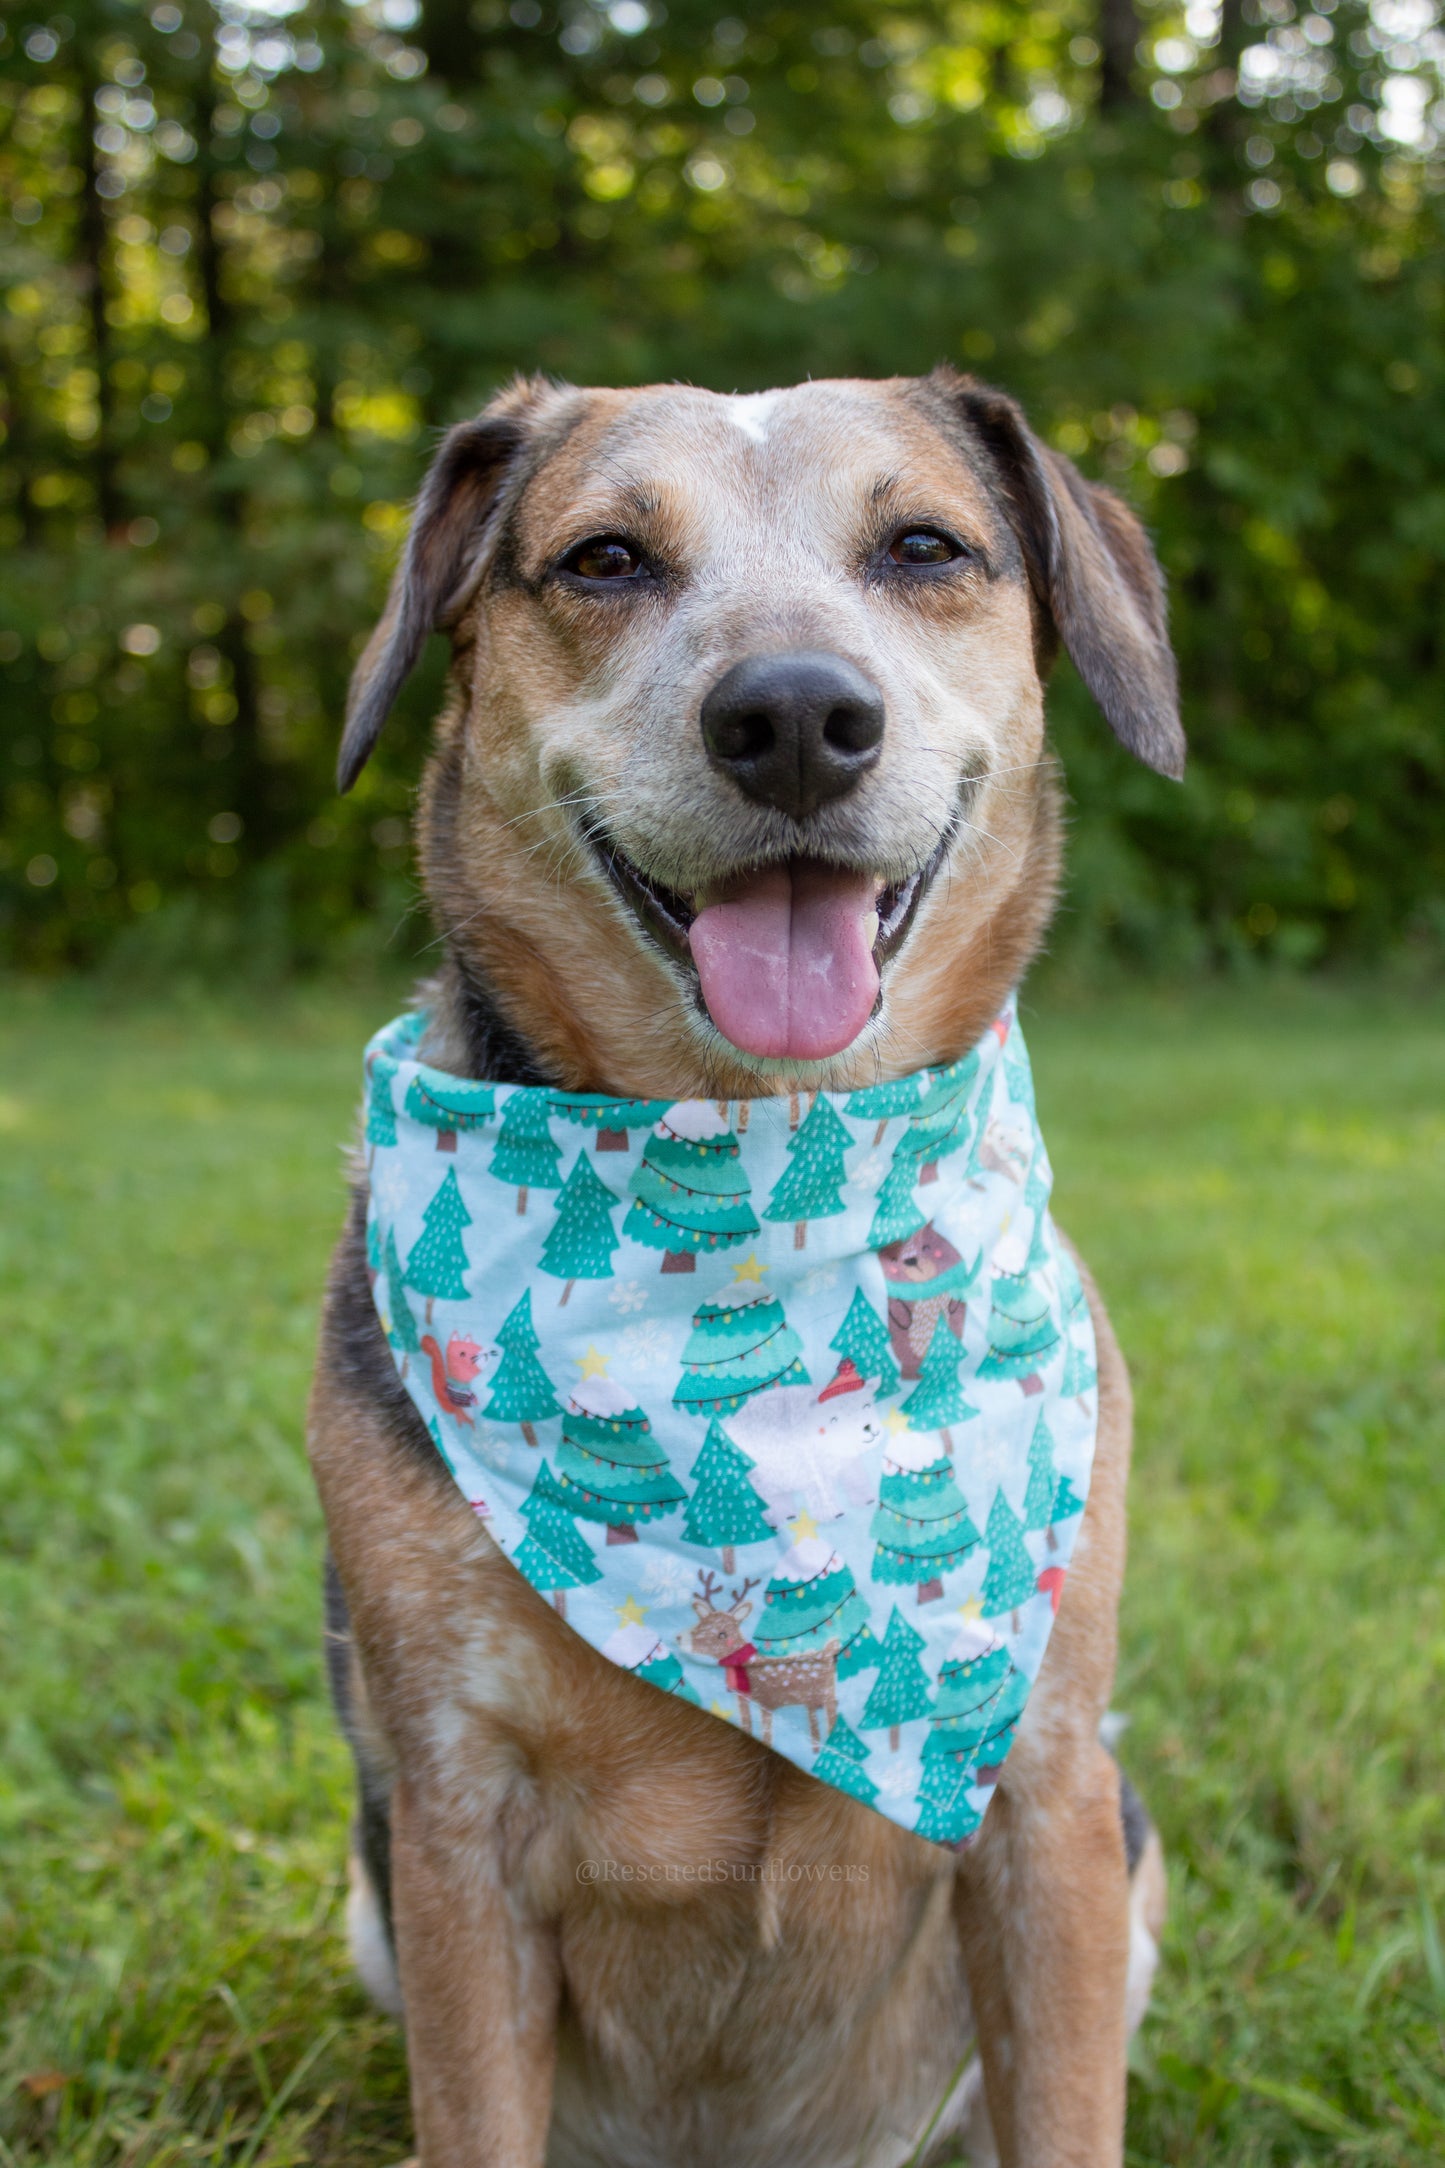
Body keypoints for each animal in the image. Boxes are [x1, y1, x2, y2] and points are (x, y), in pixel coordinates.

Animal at [723, 1361, 883, 1534]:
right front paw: (831, 1514)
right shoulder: (811, 1465)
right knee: (767, 1498)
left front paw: (866, 1499)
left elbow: (855, 1476)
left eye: (866, 1405)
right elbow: (820, 1490)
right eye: (834, 1418)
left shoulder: (847, 1461)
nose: (867, 1427)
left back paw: (788, 1515)